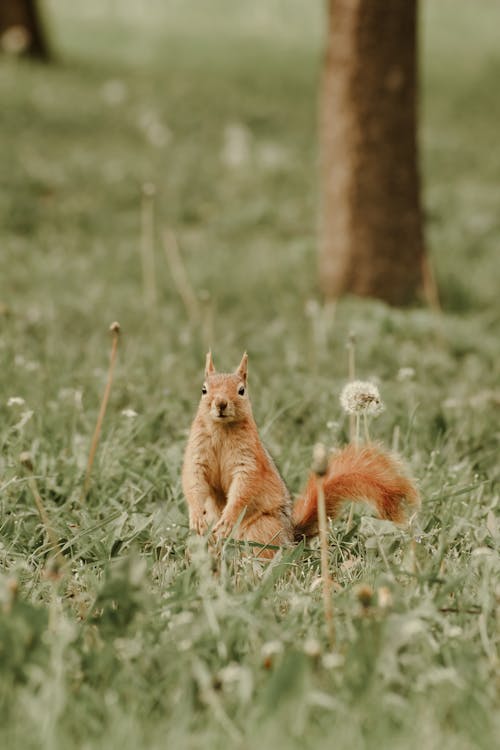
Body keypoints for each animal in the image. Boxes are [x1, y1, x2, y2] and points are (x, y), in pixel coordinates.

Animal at [182, 354, 420, 560]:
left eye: (241, 390)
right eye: (204, 390)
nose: (221, 404)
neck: (221, 430)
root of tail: (291, 536)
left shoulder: (249, 460)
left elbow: (244, 488)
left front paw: (228, 518)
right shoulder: (196, 455)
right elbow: (193, 480)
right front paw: (196, 516)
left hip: (262, 528)